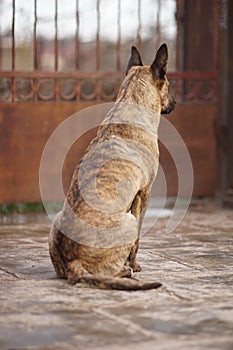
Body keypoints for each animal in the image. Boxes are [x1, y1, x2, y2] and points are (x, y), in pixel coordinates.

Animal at [50, 43, 176, 290]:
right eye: (168, 84)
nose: (175, 103)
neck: (131, 102)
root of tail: (72, 263)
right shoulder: (143, 194)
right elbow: (137, 241)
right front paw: (134, 264)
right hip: (128, 221)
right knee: (113, 269)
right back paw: (126, 271)